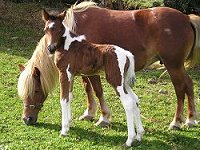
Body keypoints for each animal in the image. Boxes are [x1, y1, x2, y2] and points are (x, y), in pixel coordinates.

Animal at [18, 1, 199, 131]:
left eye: (35, 91)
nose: (27, 119)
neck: (75, 32)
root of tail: (186, 18)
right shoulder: (81, 69)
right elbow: (88, 89)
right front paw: (89, 113)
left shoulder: (93, 71)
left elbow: (97, 90)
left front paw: (104, 118)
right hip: (178, 66)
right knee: (189, 85)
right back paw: (190, 119)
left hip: (173, 65)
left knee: (180, 89)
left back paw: (176, 122)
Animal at [42, 9, 144, 146]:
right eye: (46, 29)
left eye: (59, 30)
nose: (51, 48)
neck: (68, 46)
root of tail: (127, 54)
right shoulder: (71, 75)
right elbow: (69, 97)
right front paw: (68, 124)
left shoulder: (64, 73)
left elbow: (63, 99)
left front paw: (63, 130)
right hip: (124, 82)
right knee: (135, 99)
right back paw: (139, 135)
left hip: (115, 80)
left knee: (128, 102)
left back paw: (129, 140)